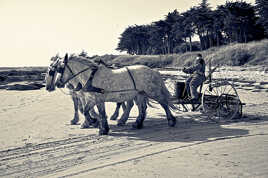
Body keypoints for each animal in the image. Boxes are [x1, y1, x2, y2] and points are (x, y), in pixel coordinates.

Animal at [47, 53, 177, 136]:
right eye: (54, 70)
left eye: (60, 69)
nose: (57, 84)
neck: (90, 77)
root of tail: (153, 70)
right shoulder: (92, 98)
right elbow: (86, 110)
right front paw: (95, 122)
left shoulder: (98, 99)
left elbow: (98, 112)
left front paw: (101, 127)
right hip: (140, 93)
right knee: (142, 108)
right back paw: (137, 124)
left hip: (152, 91)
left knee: (164, 103)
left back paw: (171, 121)